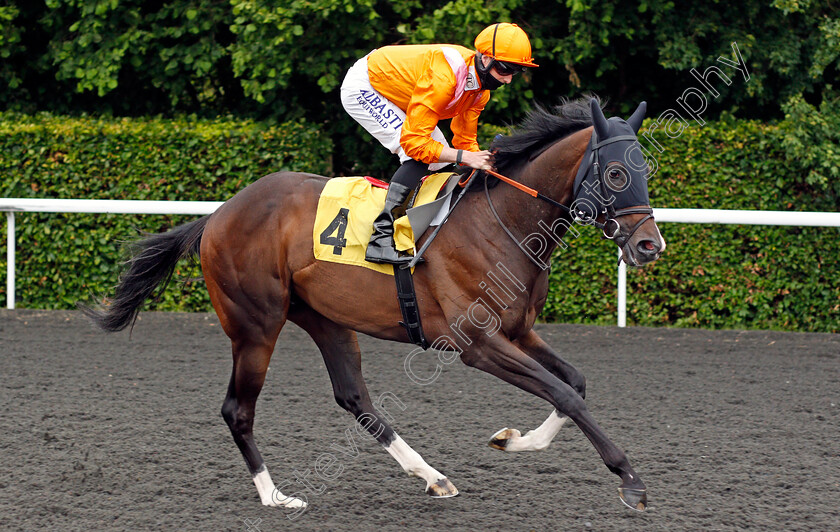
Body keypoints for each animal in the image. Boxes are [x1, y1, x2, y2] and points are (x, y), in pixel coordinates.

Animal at [83, 97, 664, 512]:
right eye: (616, 174)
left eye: (648, 171)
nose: (648, 246)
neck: (503, 223)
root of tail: (219, 214)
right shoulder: (477, 344)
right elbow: (565, 394)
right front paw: (631, 480)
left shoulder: (519, 331)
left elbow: (575, 383)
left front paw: (511, 441)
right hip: (256, 325)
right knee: (237, 409)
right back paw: (274, 495)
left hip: (325, 318)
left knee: (354, 398)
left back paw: (432, 477)